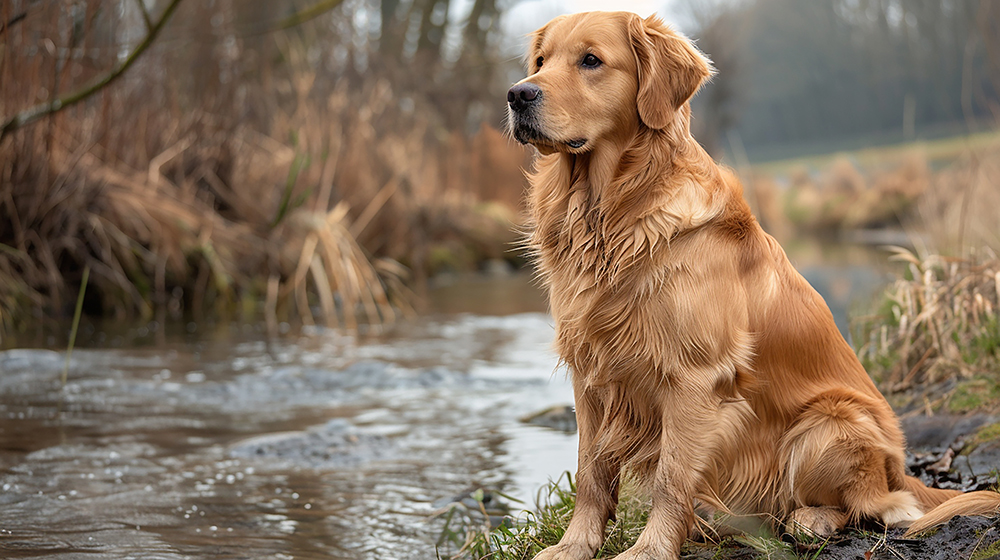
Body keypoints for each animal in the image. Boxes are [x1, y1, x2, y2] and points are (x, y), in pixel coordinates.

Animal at [508, 9, 1000, 560]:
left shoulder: (694, 376)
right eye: (540, 62)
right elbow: (591, 473)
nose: (517, 94)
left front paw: (649, 548)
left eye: (591, 60)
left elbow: (671, 479)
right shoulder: (591, 372)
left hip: (829, 422)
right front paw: (574, 545)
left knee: (877, 504)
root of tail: (899, 465)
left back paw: (811, 519)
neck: (612, 213)